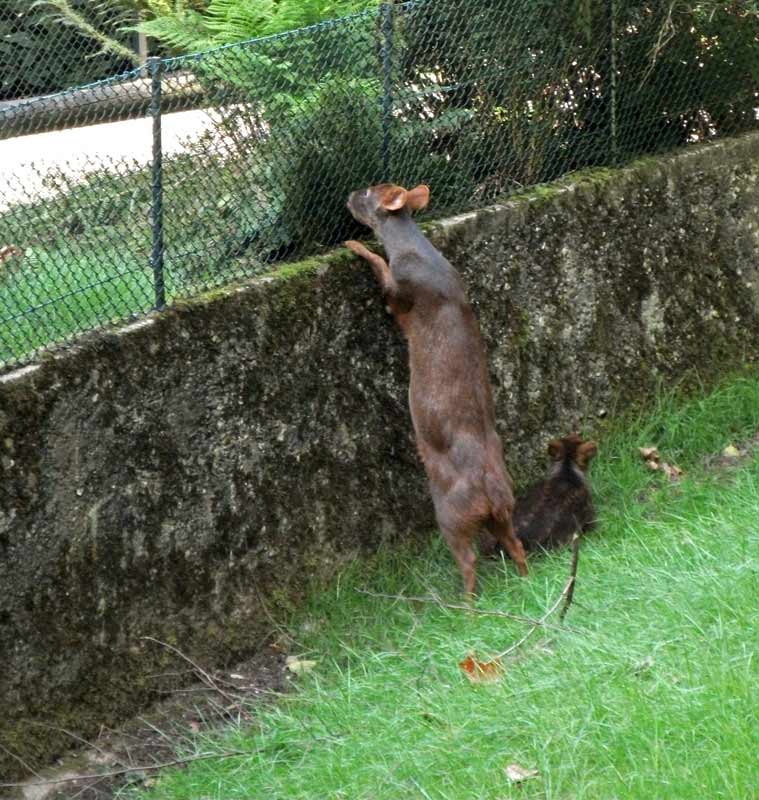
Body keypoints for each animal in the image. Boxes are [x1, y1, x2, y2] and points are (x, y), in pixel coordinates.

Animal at [346, 181, 528, 592]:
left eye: (366, 192)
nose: (348, 195)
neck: (420, 252)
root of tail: (490, 489)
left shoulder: (398, 295)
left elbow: (380, 267)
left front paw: (354, 245)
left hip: (450, 515)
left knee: (470, 560)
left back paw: (465, 604)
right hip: (505, 511)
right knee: (517, 544)